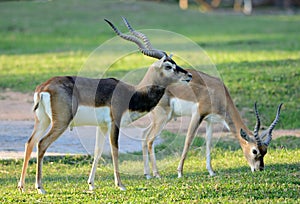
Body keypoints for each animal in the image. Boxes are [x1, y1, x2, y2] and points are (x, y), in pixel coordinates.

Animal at [17, 17, 192, 193]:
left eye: (175, 63)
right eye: (168, 66)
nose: (189, 75)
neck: (133, 92)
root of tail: (44, 87)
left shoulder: (101, 126)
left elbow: (98, 150)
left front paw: (91, 184)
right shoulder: (115, 123)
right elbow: (115, 150)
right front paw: (120, 185)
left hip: (43, 121)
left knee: (29, 142)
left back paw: (22, 186)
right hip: (60, 123)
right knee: (42, 143)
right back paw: (40, 187)